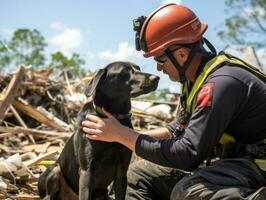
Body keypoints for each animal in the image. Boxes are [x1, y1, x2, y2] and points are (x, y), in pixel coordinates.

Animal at [38, 61, 159, 199]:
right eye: (125, 71)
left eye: (138, 68)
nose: (156, 78)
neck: (113, 116)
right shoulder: (87, 171)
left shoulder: (122, 172)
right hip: (55, 170)